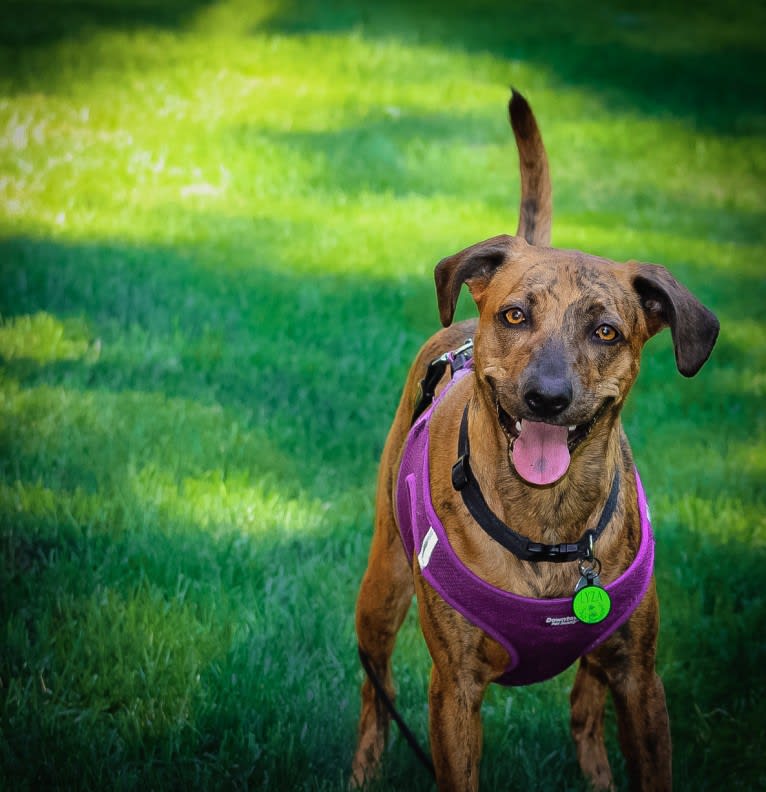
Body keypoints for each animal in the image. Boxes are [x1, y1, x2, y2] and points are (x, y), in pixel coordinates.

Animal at [352, 89, 724, 788]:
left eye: (606, 331)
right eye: (516, 315)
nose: (546, 398)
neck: (548, 526)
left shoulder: (640, 677)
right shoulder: (455, 689)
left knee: (583, 705)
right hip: (381, 587)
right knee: (375, 686)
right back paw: (364, 764)